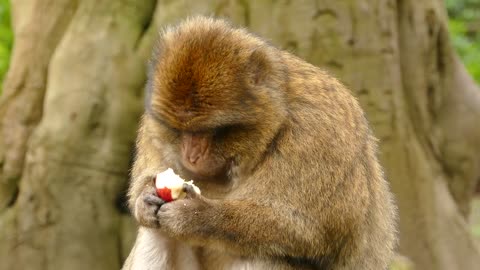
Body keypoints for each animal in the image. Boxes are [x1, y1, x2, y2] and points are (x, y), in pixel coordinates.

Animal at [124, 16, 398, 270]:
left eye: (210, 130)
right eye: (179, 130)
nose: (191, 156)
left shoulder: (318, 132)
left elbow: (312, 231)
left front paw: (196, 216)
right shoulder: (151, 127)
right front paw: (145, 199)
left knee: (267, 252)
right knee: (155, 231)